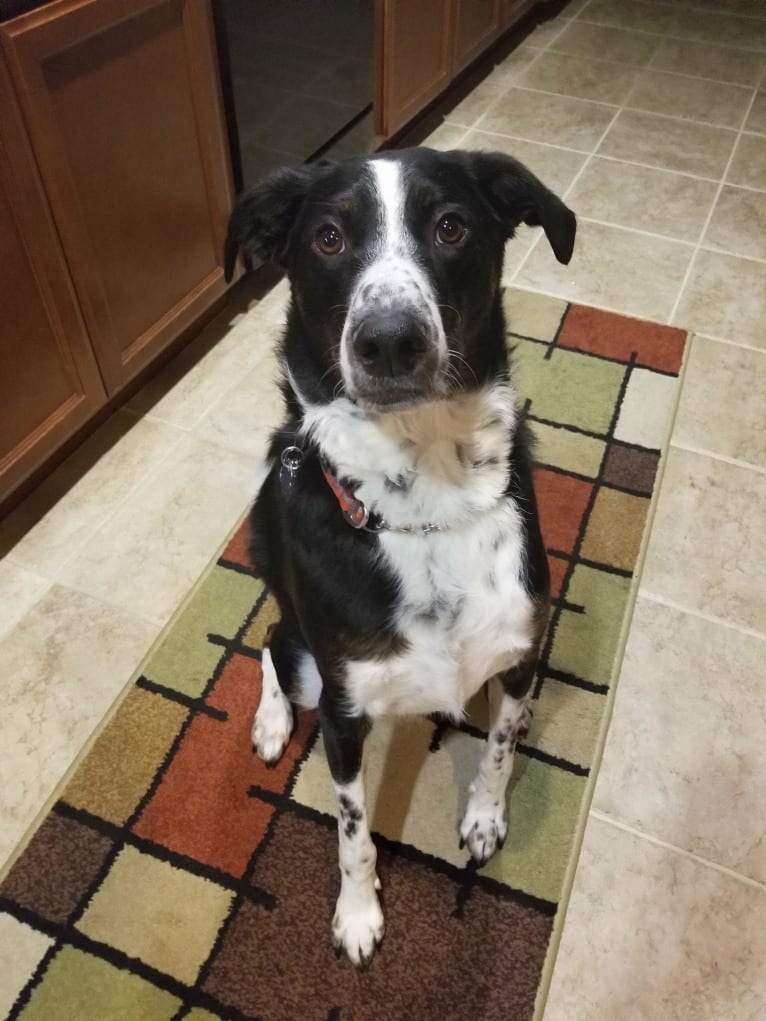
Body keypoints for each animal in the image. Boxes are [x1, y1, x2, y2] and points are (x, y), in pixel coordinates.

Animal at [224, 143, 580, 963]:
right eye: (327, 238)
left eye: (451, 226)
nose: (389, 339)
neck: (426, 502)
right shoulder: (345, 713)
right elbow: (352, 830)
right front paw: (358, 916)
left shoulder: (519, 646)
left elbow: (500, 746)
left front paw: (484, 816)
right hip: (308, 661)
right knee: (271, 640)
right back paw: (270, 722)